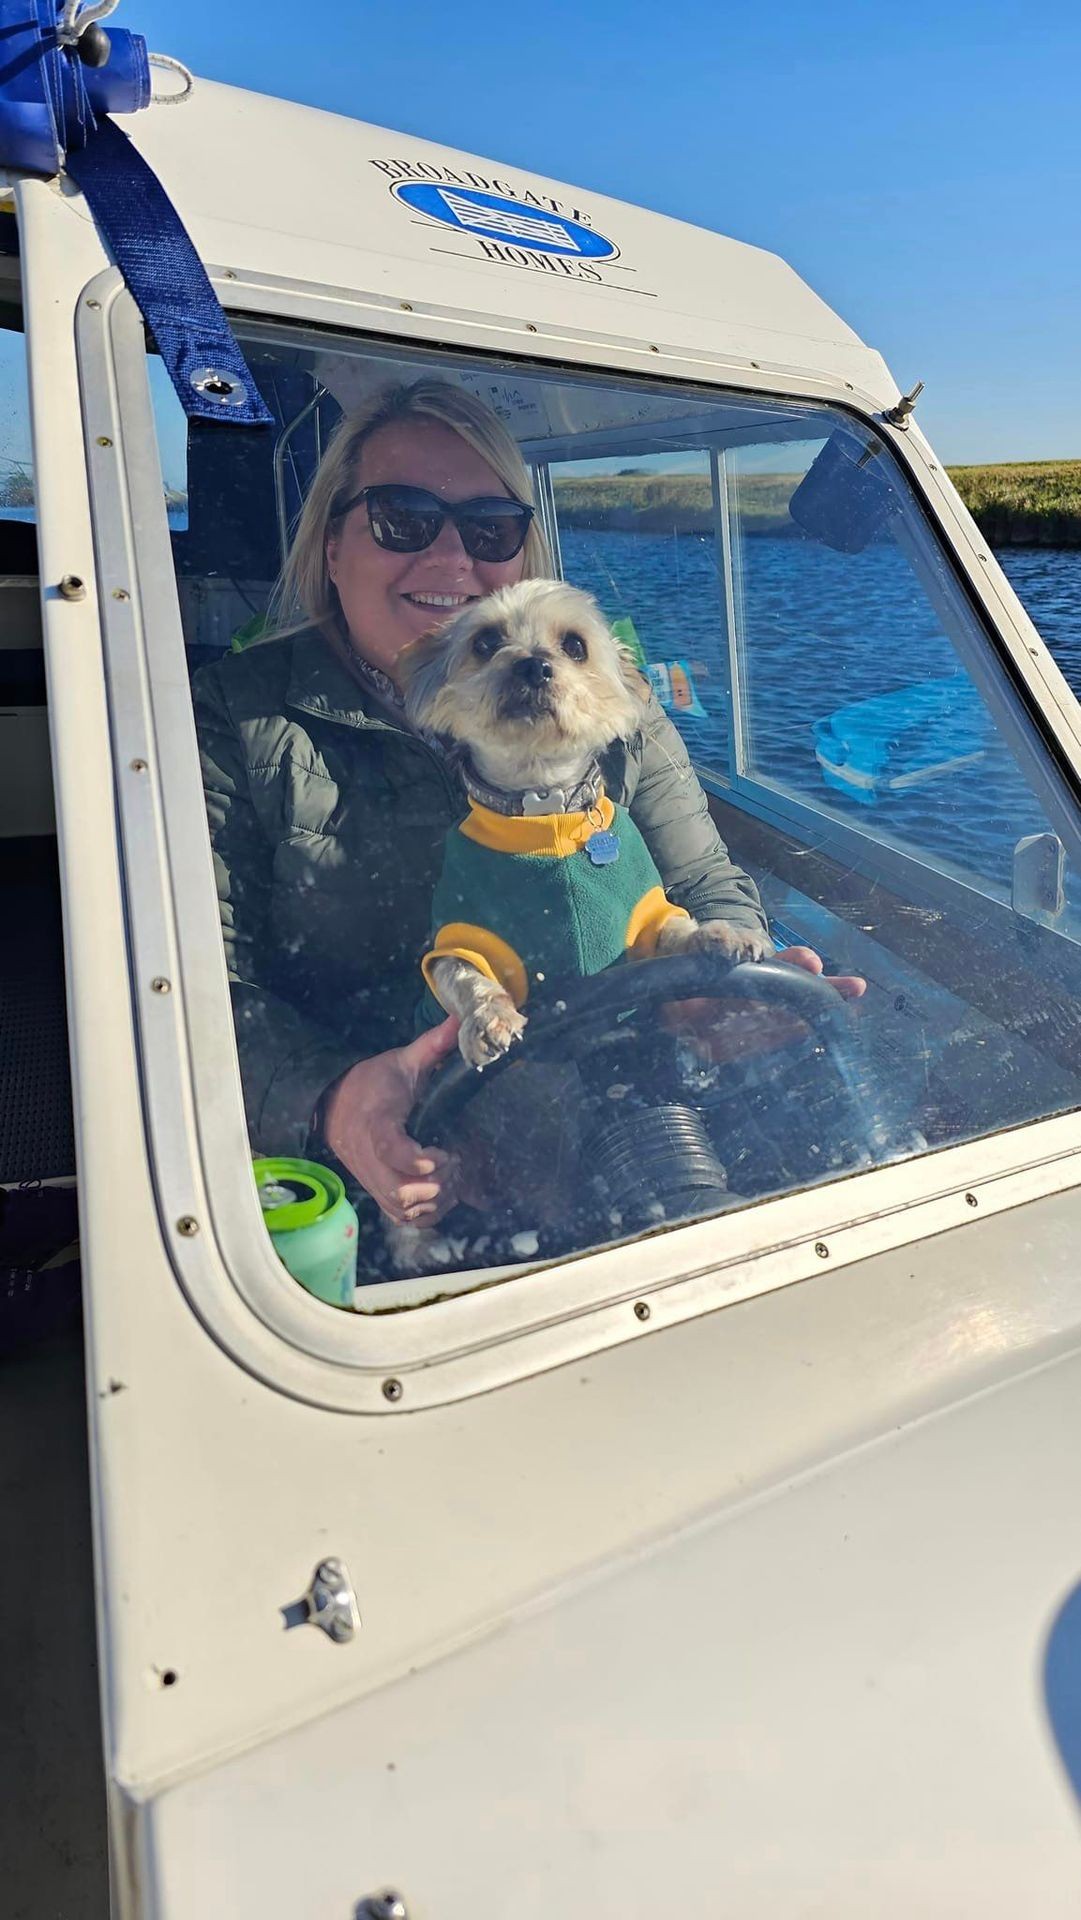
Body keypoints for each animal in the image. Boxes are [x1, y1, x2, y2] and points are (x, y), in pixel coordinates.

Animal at [403, 576, 768, 1075]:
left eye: (575, 646)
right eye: (486, 642)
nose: (533, 666)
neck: (548, 810)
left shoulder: (646, 922)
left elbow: (678, 930)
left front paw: (722, 933)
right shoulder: (457, 939)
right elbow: (465, 977)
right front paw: (488, 1020)